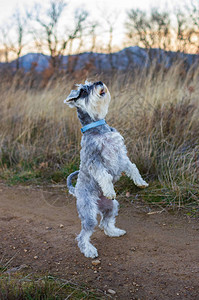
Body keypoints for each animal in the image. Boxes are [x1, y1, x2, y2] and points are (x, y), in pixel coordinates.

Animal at [63, 80, 148, 258]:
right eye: (83, 91)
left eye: (90, 83)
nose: (99, 83)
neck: (98, 128)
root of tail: (76, 192)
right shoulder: (94, 160)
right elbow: (105, 175)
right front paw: (109, 189)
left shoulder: (121, 154)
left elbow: (132, 167)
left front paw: (141, 182)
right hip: (88, 213)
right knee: (83, 234)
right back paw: (89, 250)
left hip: (111, 207)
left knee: (105, 223)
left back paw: (115, 232)